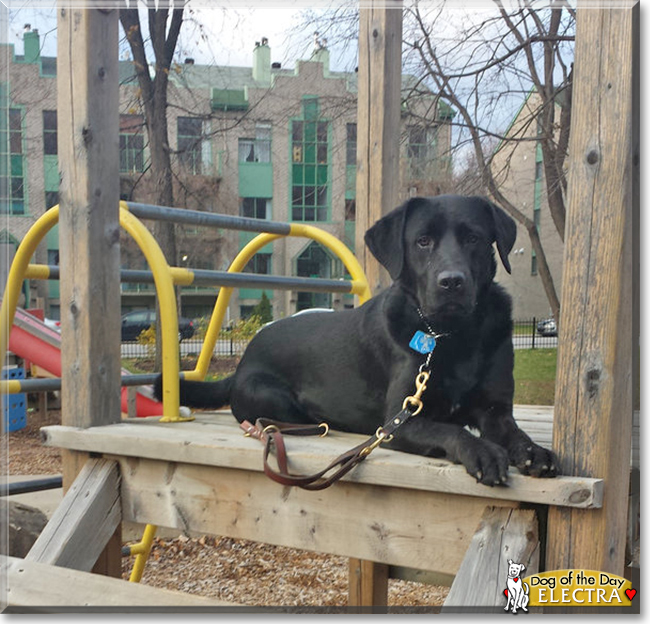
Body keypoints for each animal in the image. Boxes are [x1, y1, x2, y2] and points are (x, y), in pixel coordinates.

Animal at [157, 196, 556, 488]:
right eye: (423, 241)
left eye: (474, 238)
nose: (452, 281)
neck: (451, 335)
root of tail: (240, 364)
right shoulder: (402, 420)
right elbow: (452, 429)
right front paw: (483, 452)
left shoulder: (495, 410)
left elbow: (513, 432)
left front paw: (534, 450)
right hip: (271, 397)